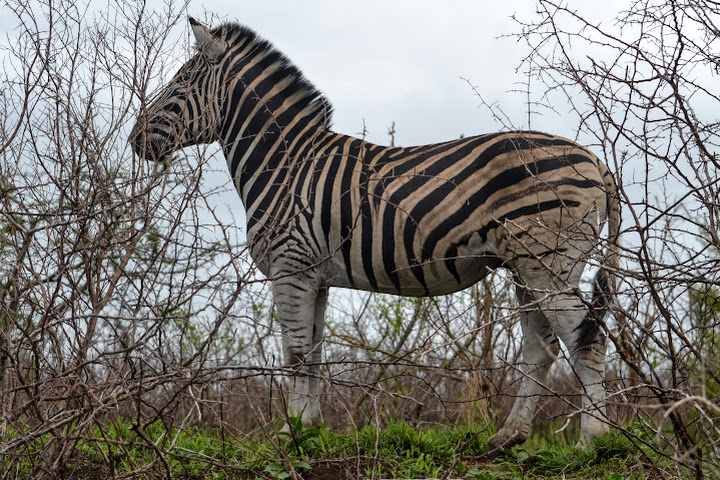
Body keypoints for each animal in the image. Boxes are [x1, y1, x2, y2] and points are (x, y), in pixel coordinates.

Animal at [131, 18, 620, 454]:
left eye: (178, 86)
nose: (134, 139)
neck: (285, 164)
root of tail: (596, 161)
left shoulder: (291, 268)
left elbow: (295, 354)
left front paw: (290, 437)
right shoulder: (316, 276)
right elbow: (314, 355)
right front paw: (308, 431)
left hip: (547, 262)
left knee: (586, 339)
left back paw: (592, 442)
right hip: (526, 269)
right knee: (541, 347)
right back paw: (507, 438)